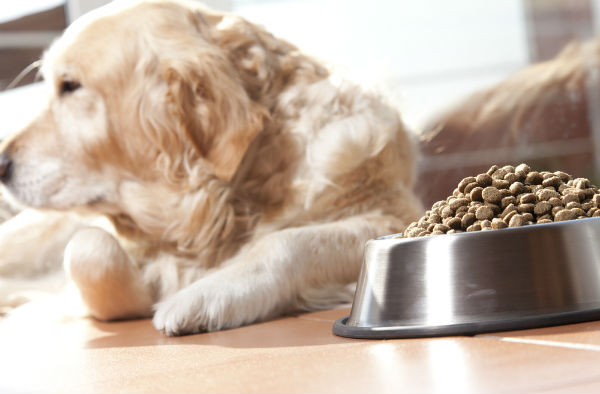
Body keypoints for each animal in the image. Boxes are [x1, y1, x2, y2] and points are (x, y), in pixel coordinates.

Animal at [0, 0, 422, 336]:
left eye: (70, 86)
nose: (1, 164)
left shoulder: (389, 213)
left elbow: (288, 240)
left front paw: (204, 293)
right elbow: (89, 247)